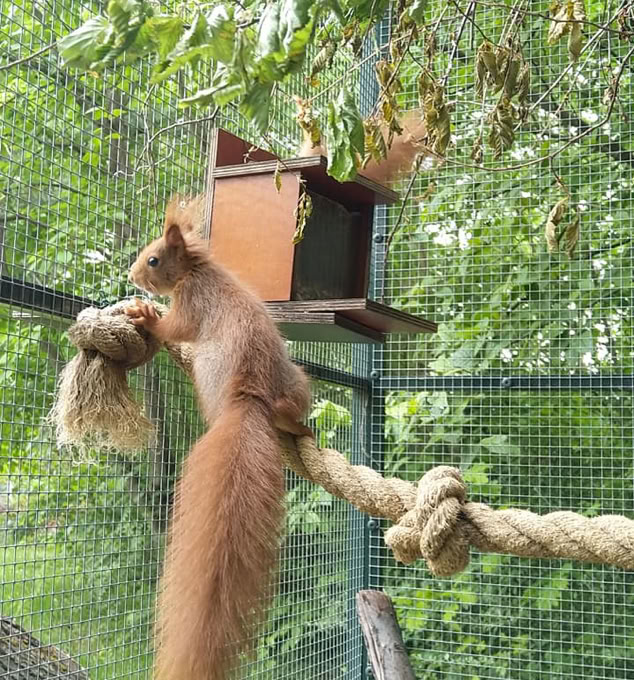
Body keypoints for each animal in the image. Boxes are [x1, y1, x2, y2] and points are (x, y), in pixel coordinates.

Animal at [125, 196, 313, 680]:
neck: (195, 269)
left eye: (154, 259)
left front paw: (145, 315)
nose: (133, 276)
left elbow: (174, 329)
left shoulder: (192, 304)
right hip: (298, 383)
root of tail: (250, 401)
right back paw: (298, 426)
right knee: (293, 412)